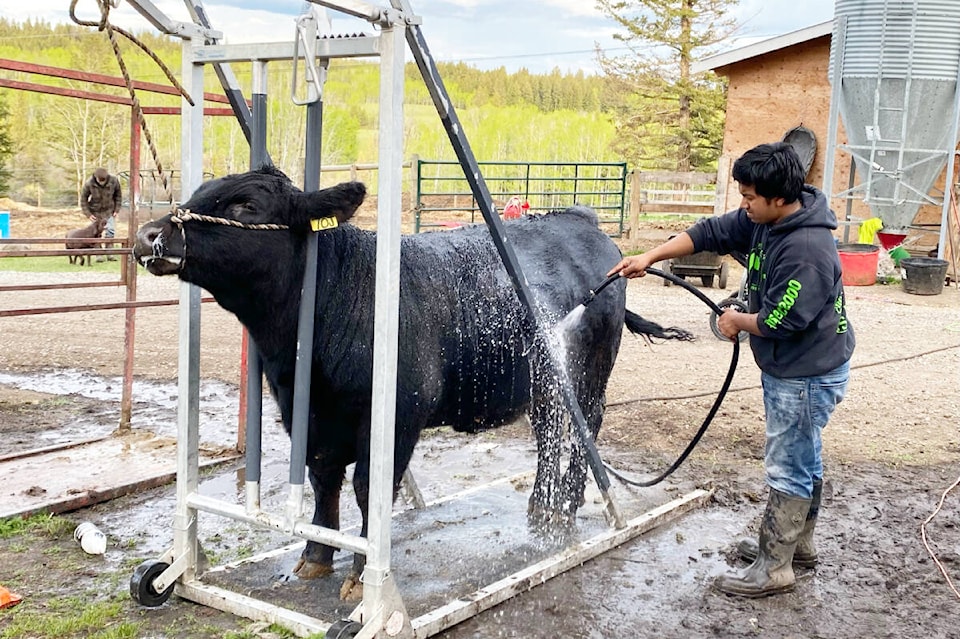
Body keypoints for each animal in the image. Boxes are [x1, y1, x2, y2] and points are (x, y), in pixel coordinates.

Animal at [137, 166, 688, 600]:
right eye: (201, 189)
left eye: (246, 205)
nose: (148, 234)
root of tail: (580, 221)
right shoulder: (305, 413)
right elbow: (322, 480)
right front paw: (315, 557)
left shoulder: (399, 415)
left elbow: (368, 489)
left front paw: (361, 576)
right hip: (541, 384)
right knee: (551, 436)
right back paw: (542, 510)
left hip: (587, 377)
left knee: (579, 430)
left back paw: (561, 512)